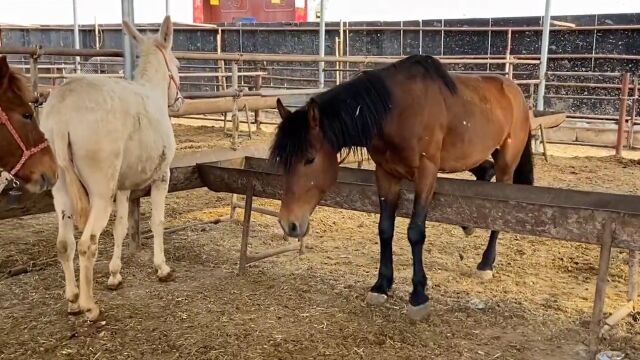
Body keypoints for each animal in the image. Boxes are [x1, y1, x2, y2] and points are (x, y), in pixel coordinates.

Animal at [270, 55, 536, 320]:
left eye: (310, 159)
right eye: (283, 160)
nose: (289, 223)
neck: (396, 111)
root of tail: (516, 92)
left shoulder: (427, 173)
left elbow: (415, 232)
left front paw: (418, 295)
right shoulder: (385, 174)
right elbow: (385, 228)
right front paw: (381, 285)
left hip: (507, 162)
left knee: (499, 205)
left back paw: (486, 263)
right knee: (485, 171)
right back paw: (468, 226)